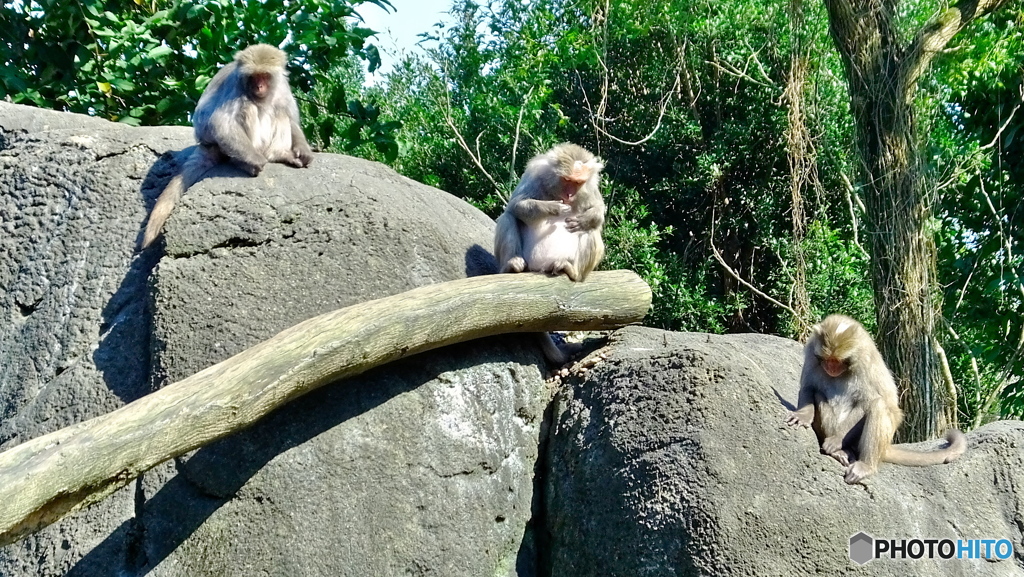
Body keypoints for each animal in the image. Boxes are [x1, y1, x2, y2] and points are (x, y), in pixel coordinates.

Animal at [140, 41, 313, 246]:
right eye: (253, 77)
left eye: (264, 76)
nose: (259, 86)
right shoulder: (235, 85)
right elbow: (220, 122)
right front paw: (255, 161)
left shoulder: (282, 87)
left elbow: (292, 119)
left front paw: (303, 151)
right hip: (235, 144)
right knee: (247, 106)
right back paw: (246, 161)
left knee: (279, 110)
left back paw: (279, 153)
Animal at [497, 142, 606, 282]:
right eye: (567, 180)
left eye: (578, 182)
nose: (570, 195)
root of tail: (542, 268)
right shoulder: (535, 173)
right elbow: (515, 204)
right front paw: (552, 207)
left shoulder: (590, 185)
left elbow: (599, 209)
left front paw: (585, 219)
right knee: (508, 217)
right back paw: (511, 265)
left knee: (590, 230)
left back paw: (573, 272)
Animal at [782, 313, 966, 485]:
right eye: (828, 359)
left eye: (838, 361)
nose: (831, 367)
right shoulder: (811, 353)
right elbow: (808, 387)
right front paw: (802, 415)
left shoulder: (866, 361)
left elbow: (877, 403)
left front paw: (837, 440)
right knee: (818, 394)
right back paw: (841, 452)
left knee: (879, 405)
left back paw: (863, 464)